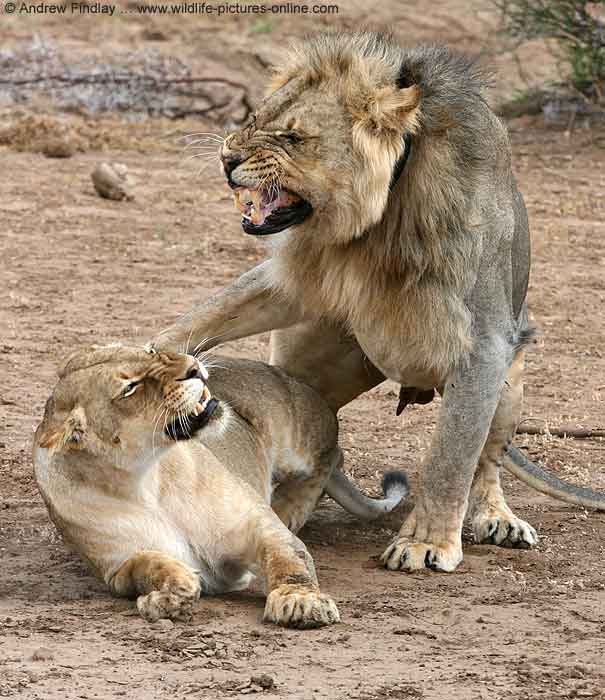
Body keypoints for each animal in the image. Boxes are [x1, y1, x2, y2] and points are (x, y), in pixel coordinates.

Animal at [34, 348, 410, 628]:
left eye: (150, 350)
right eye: (130, 388)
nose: (193, 367)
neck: (144, 479)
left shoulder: (256, 524)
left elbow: (289, 557)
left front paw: (300, 602)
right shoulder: (114, 568)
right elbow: (147, 564)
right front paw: (171, 594)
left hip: (295, 428)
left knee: (331, 454)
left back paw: (289, 507)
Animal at [155, 31, 604, 576]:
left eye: (293, 138)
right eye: (255, 118)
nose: (225, 160)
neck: (374, 223)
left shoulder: (485, 343)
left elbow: (450, 458)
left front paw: (425, 544)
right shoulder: (298, 276)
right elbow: (208, 313)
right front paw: (157, 358)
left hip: (511, 377)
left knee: (487, 463)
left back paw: (498, 519)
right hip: (309, 366)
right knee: (320, 444)